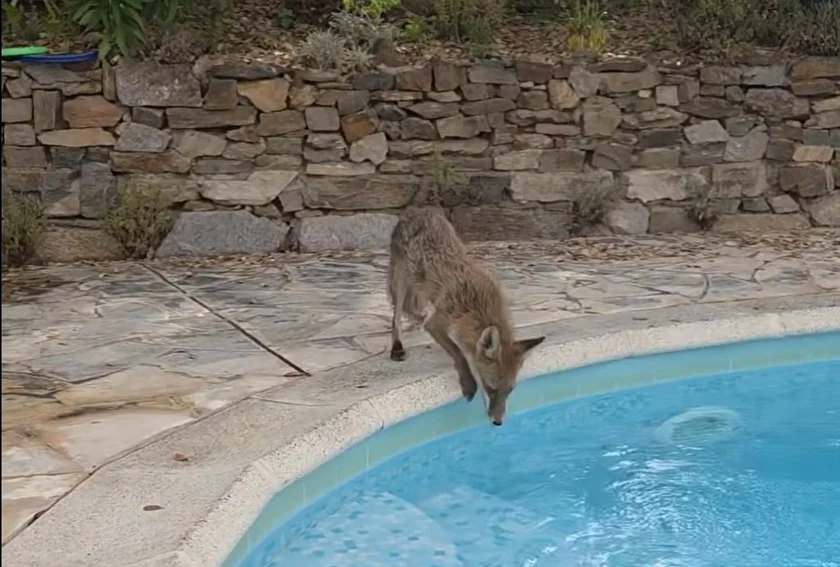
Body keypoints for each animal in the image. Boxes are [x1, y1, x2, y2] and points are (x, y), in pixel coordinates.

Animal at [387, 207, 545, 427]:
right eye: (490, 388)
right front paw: (468, 383)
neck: (477, 306)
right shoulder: (436, 323)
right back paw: (396, 347)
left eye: (510, 390)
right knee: (396, 318)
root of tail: (417, 210)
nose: (498, 422)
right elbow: (459, 354)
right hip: (401, 280)